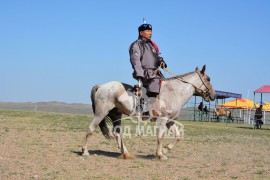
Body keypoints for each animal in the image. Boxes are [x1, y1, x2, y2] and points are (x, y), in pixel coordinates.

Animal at [81, 65, 216, 160]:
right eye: (208, 79)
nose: (213, 95)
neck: (174, 92)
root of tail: (101, 86)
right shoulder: (162, 120)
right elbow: (160, 136)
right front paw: (160, 154)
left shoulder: (170, 121)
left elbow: (178, 136)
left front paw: (165, 150)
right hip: (100, 114)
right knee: (91, 129)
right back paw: (85, 151)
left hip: (116, 115)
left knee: (117, 133)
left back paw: (126, 153)